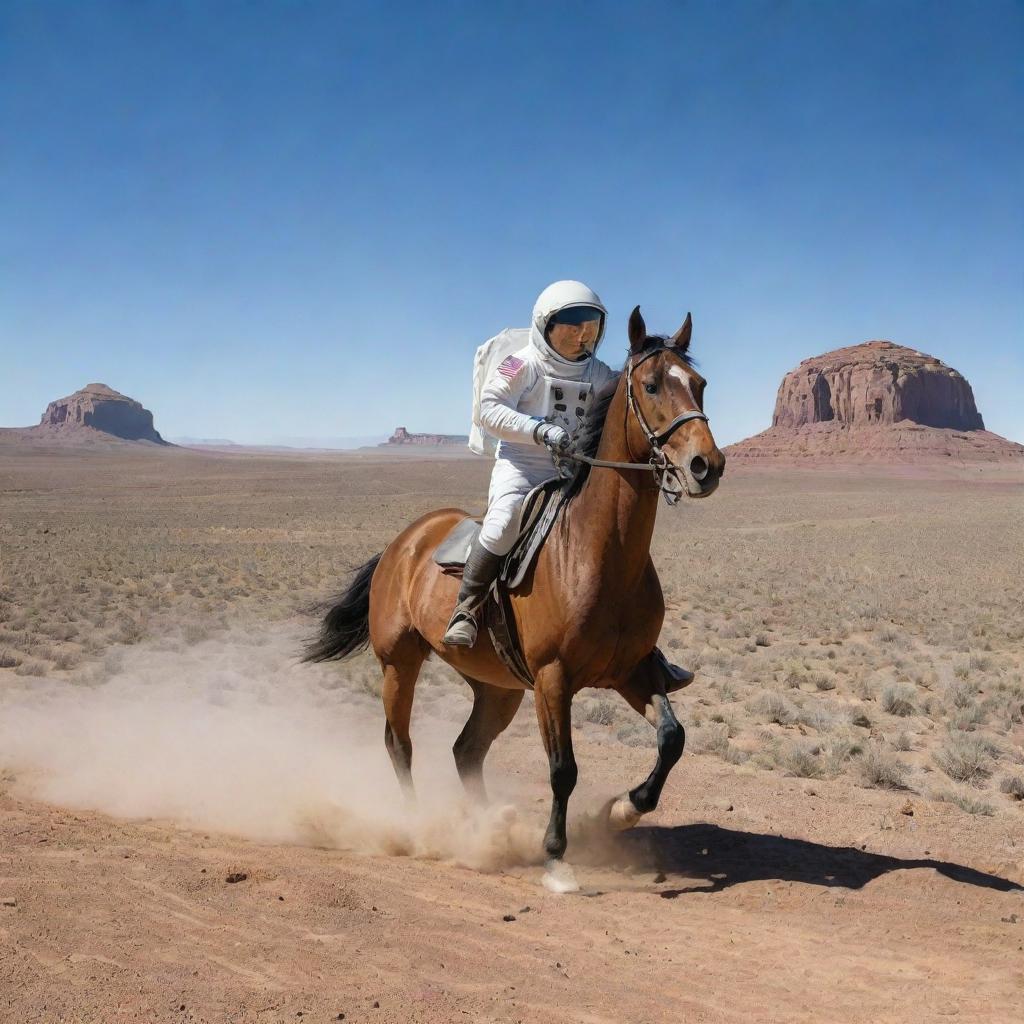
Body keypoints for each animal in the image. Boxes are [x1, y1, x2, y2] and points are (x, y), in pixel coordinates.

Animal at [305, 303, 729, 888]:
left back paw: (490, 826)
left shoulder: (632, 670)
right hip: (400, 663)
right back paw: (419, 825)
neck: (599, 553)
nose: (706, 466)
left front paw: (622, 809)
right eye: (650, 385)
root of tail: (404, 543)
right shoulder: (553, 678)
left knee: (466, 750)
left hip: (497, 686)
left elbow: (672, 737)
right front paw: (556, 856)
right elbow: (563, 768)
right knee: (400, 745)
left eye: (700, 385)